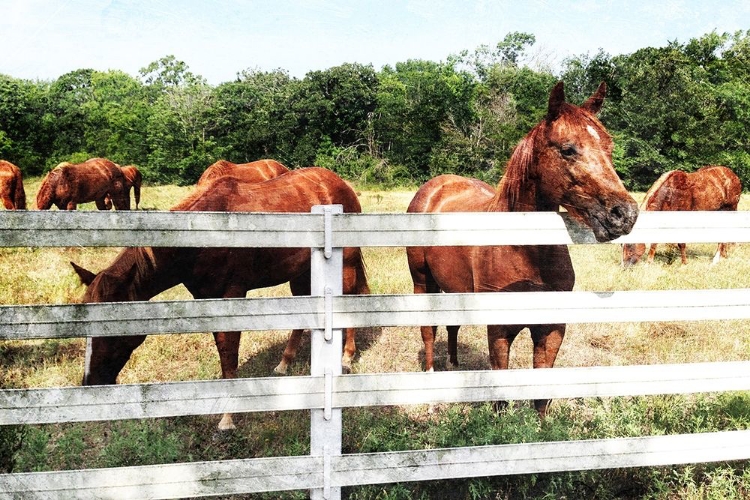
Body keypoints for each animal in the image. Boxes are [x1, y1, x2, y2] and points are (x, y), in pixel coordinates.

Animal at [72, 167, 372, 430]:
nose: (90, 382)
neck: (204, 236)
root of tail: (339, 183)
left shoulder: (232, 295)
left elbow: (229, 356)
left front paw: (228, 418)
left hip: (346, 262)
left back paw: (346, 356)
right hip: (300, 271)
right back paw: (284, 362)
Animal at [408, 82, 636, 418]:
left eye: (609, 147)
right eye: (568, 149)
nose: (624, 214)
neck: (527, 251)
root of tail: (435, 187)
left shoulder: (551, 329)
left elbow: (541, 395)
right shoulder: (500, 329)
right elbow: (501, 396)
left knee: (452, 325)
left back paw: (453, 365)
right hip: (423, 283)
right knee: (428, 331)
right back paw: (431, 387)